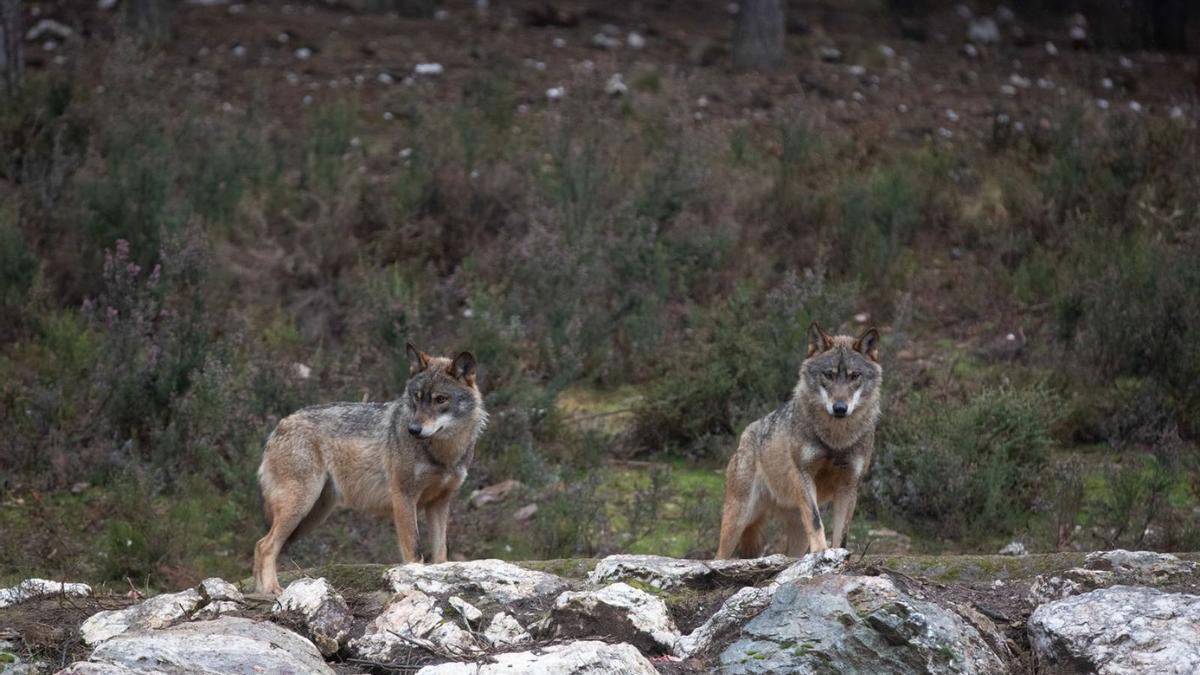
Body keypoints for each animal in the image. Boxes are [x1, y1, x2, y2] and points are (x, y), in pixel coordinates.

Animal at [253, 343, 487, 590]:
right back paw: (272, 590)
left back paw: (262, 591)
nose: (413, 429)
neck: (442, 453)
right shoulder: (403, 497)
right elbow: (414, 551)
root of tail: (280, 425)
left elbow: (441, 554)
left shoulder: (439, 503)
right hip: (300, 507)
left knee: (261, 545)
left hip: (312, 515)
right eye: (417, 397)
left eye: (440, 399)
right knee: (265, 545)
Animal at [715, 319, 878, 557]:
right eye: (828, 375)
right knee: (719, 556)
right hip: (738, 519)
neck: (836, 440)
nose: (840, 408)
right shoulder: (804, 474)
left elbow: (842, 534)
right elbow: (816, 520)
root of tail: (747, 432)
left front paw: (837, 555)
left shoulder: (849, 486)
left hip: (795, 531)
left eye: (854, 376)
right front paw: (820, 552)